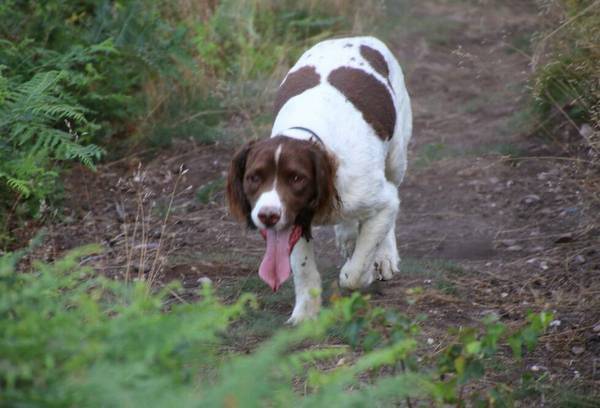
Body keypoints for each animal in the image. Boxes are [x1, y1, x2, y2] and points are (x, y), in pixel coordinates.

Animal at [226, 36, 412, 324]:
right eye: (254, 177)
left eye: (297, 178)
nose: (268, 216)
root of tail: (355, 38)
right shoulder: (293, 220)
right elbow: (302, 268)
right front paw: (305, 314)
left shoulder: (380, 199)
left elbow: (357, 269)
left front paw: (363, 270)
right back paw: (348, 236)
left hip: (396, 157)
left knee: (391, 197)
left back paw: (385, 256)